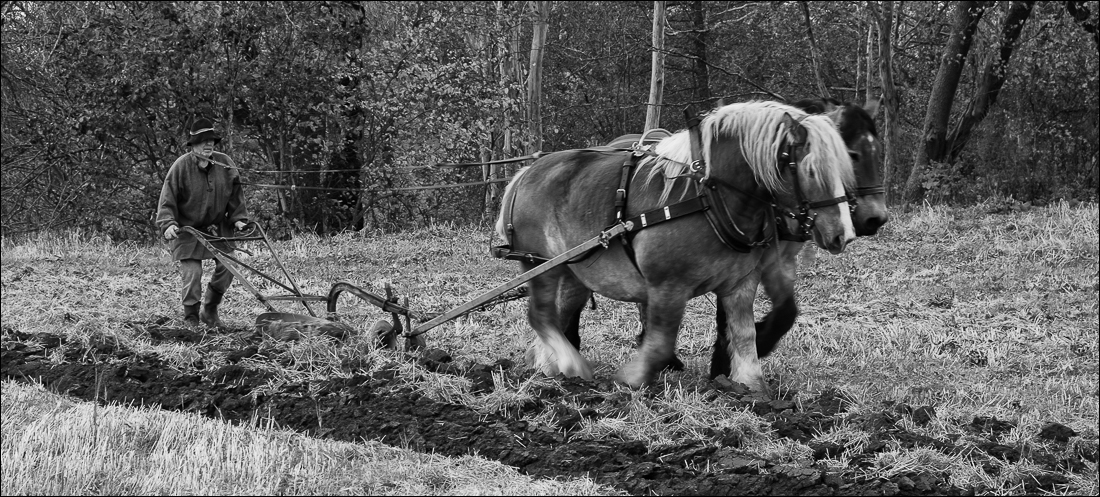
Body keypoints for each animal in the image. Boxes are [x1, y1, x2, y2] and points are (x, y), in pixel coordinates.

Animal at [497, 100, 858, 389]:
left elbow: (744, 335)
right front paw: (632, 379)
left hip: (574, 272)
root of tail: (526, 172)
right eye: (810, 170)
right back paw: (570, 364)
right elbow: (660, 343)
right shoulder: (667, 286)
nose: (843, 234)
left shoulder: (741, 283)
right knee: (541, 315)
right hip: (539, 264)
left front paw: (749, 385)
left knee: (558, 317)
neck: (709, 198)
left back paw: (550, 364)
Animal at [616, 97, 888, 376]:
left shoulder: (777, 261)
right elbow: (727, 314)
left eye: (877, 151)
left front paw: (749, 345)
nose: (875, 218)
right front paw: (725, 360)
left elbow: (786, 310)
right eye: (852, 156)